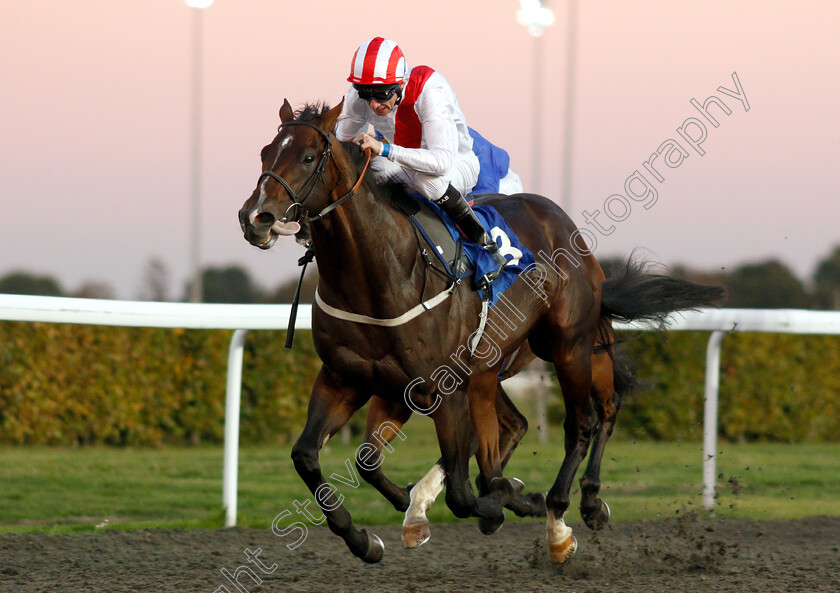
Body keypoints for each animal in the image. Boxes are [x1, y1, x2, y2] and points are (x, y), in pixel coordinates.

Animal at [238, 99, 720, 560]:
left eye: (307, 156)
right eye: (264, 152)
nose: (255, 217)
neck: (380, 273)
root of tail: (560, 221)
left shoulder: (439, 387)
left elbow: (462, 492)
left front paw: (496, 502)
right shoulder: (352, 379)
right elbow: (321, 457)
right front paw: (366, 536)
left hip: (571, 345)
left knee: (589, 418)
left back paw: (565, 514)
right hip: (495, 366)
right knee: (523, 425)